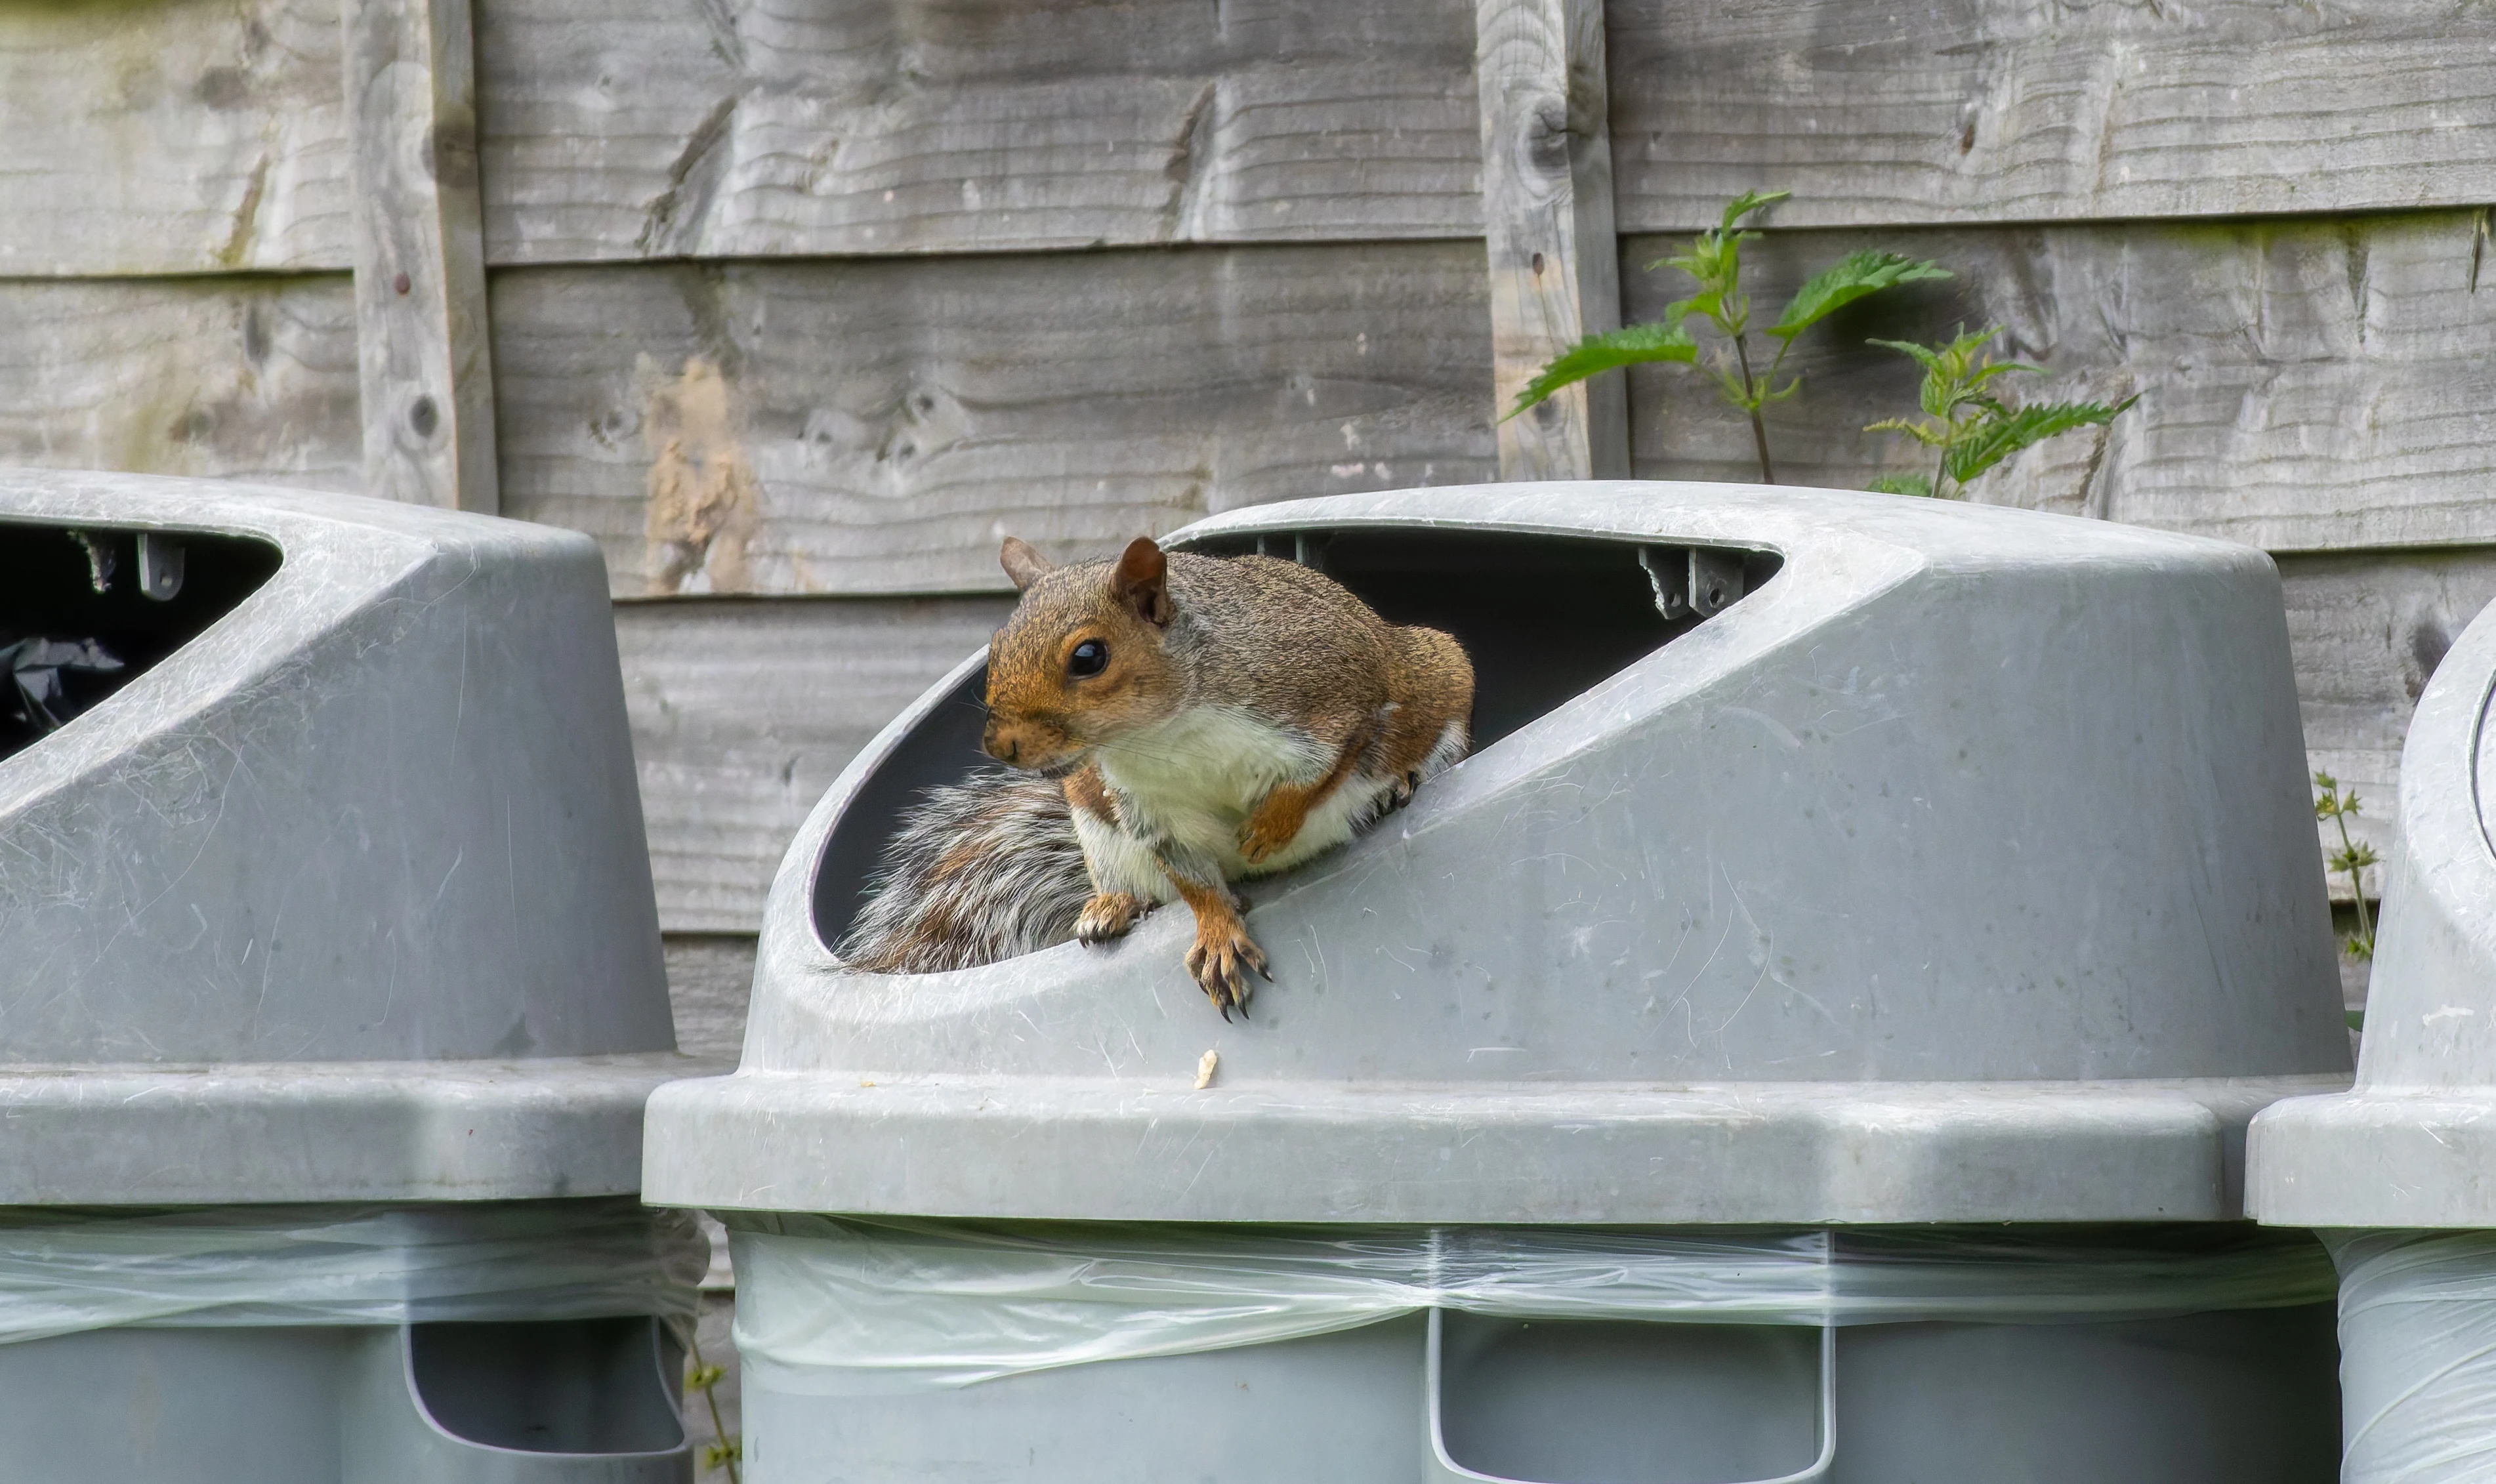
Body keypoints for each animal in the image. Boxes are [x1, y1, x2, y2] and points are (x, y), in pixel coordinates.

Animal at [838, 534, 1475, 1017]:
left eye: (1089, 657)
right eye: (996, 647)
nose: (1000, 745)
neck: (1164, 735)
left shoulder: (1337, 705)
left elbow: (1327, 771)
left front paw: (1271, 827)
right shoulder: (1150, 810)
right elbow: (1193, 882)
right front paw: (1217, 935)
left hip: (1440, 674)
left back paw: (1398, 787)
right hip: (1095, 825)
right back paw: (1113, 906)